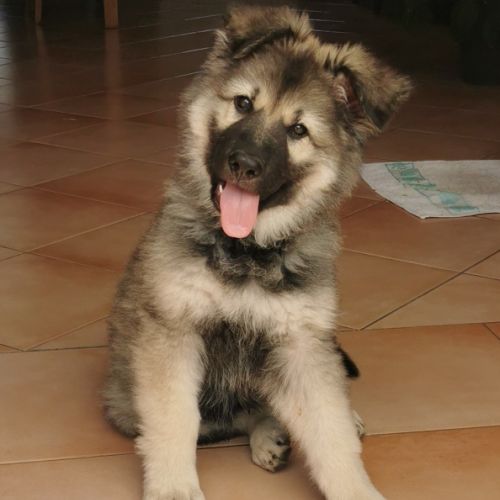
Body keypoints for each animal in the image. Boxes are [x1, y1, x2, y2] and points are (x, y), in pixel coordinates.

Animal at [103, 6, 410, 500]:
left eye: (298, 131)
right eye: (243, 104)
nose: (244, 165)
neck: (246, 253)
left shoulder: (301, 344)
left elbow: (331, 431)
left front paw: (356, 488)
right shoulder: (173, 334)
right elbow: (175, 421)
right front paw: (174, 487)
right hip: (126, 403)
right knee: (229, 416)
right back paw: (268, 434)